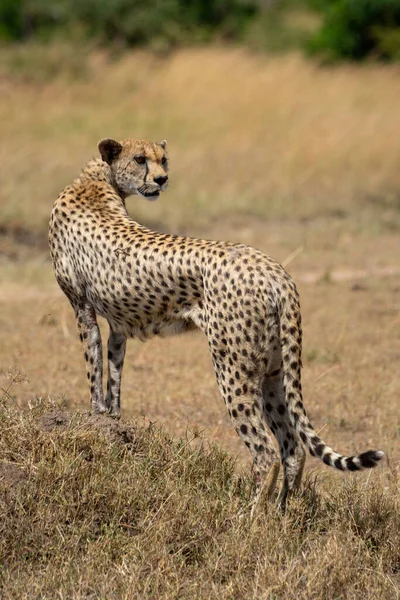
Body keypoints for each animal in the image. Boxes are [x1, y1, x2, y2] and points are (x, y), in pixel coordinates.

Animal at [49, 139, 384, 506]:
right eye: (140, 159)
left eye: (163, 159)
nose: (163, 179)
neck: (98, 180)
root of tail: (274, 270)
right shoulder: (118, 323)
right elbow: (113, 371)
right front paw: (111, 420)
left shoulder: (82, 308)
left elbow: (93, 365)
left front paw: (95, 416)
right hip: (272, 372)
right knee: (293, 446)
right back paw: (282, 512)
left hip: (232, 368)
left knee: (266, 451)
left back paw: (250, 514)